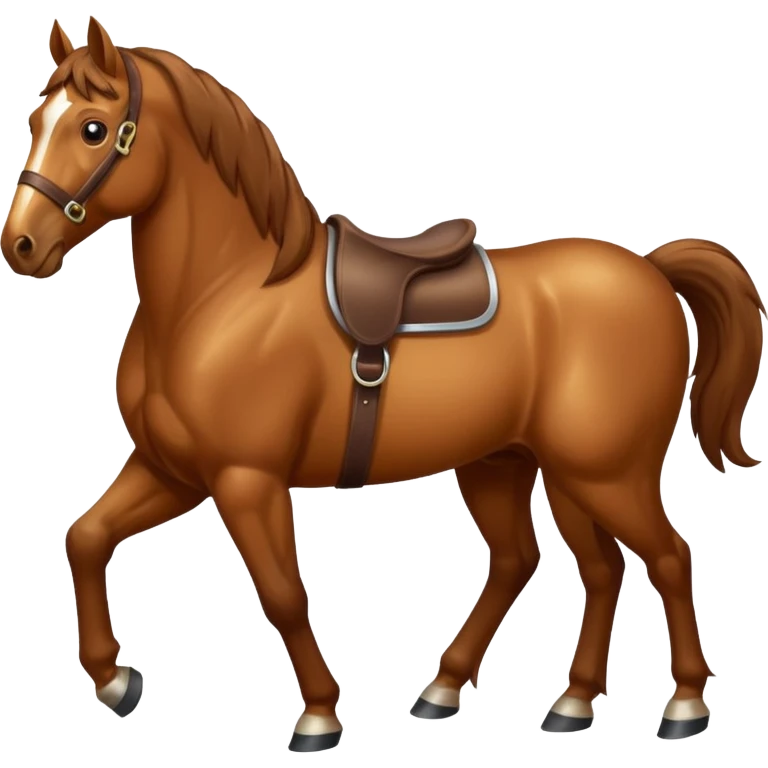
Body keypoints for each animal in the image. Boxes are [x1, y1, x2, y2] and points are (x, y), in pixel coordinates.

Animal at [1, 17, 764, 751]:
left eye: (92, 127)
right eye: (35, 118)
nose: (21, 247)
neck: (223, 294)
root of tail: (651, 270)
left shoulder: (245, 480)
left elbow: (283, 594)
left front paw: (318, 716)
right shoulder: (172, 469)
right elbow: (86, 538)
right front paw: (114, 680)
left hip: (607, 473)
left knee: (667, 557)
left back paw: (683, 706)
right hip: (524, 467)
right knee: (571, 566)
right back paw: (532, 699)